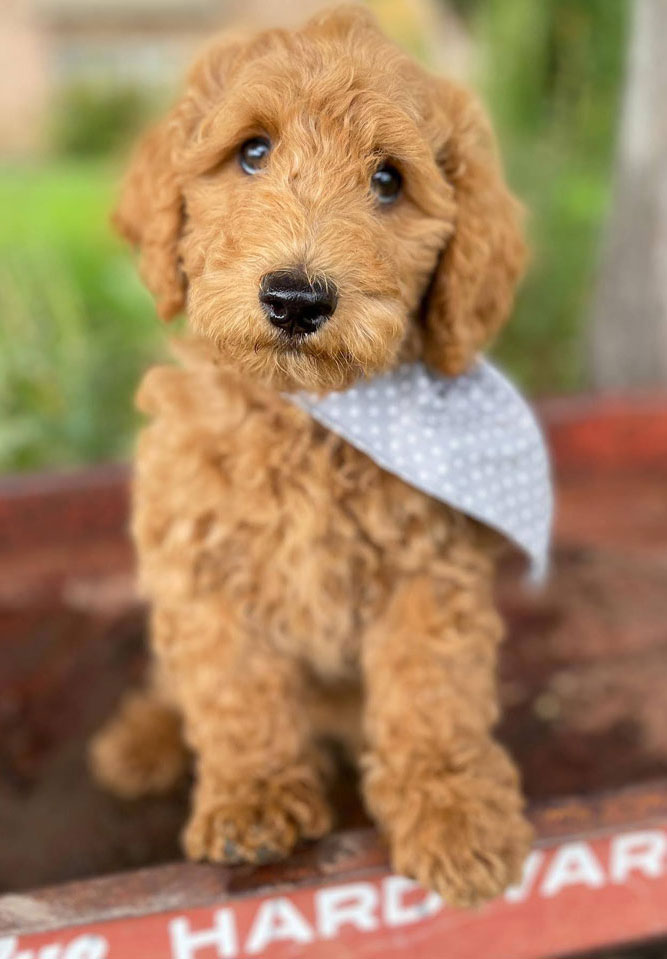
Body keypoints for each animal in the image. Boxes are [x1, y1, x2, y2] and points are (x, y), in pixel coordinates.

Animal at [90, 5, 536, 908]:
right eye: (252, 151)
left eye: (389, 180)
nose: (295, 299)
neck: (312, 416)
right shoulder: (201, 566)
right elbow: (231, 688)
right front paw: (253, 796)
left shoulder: (427, 575)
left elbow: (431, 694)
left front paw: (455, 812)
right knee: (171, 682)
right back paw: (142, 739)